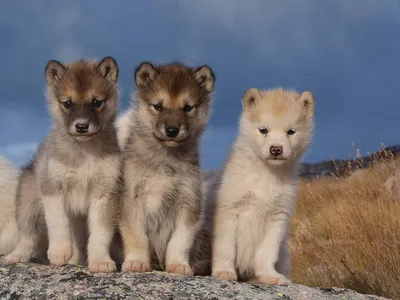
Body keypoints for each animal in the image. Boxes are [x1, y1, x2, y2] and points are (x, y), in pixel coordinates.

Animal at [4, 55, 122, 274]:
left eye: (96, 102)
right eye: (67, 103)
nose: (82, 126)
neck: (84, 152)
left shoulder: (104, 194)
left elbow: (100, 234)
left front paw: (100, 261)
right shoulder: (53, 191)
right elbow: (58, 224)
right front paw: (59, 253)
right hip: (29, 208)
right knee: (26, 237)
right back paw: (16, 256)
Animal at [119, 61, 216, 276]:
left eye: (187, 108)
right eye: (158, 106)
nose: (172, 130)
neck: (165, 159)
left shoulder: (188, 202)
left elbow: (180, 241)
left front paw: (179, 265)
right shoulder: (131, 198)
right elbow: (136, 235)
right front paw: (137, 262)